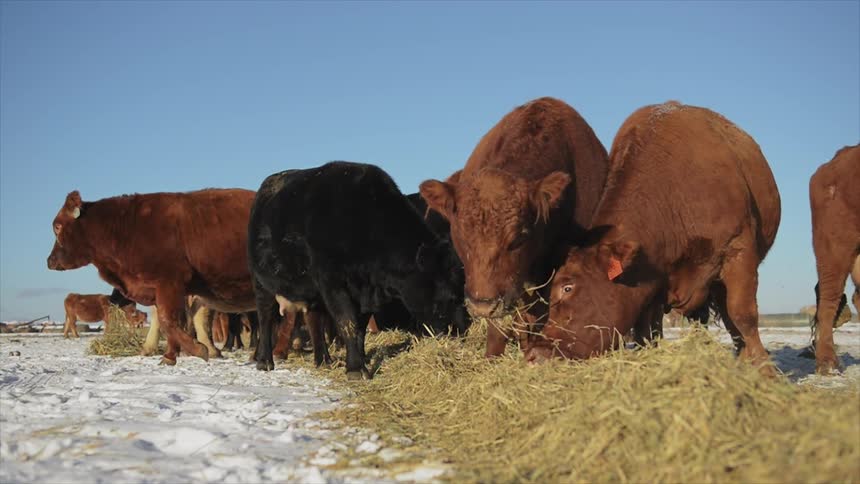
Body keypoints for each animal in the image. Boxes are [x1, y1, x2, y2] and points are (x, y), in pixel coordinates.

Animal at [47, 189, 257, 365]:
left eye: (57, 226)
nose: (49, 261)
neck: (127, 227)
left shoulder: (169, 283)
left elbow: (168, 320)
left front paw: (198, 349)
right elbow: (168, 321)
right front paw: (170, 355)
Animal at [248, 161, 469, 379]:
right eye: (450, 295)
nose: (462, 331)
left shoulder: (364, 292)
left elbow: (360, 327)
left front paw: (360, 360)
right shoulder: (333, 283)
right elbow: (348, 322)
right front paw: (355, 368)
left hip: (312, 290)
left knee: (314, 319)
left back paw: (324, 360)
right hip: (262, 283)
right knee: (265, 317)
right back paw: (264, 360)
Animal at [524, 101, 781, 376]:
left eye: (567, 287)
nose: (533, 354)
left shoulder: (738, 249)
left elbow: (743, 314)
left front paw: (765, 372)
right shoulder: (653, 281)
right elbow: (647, 330)